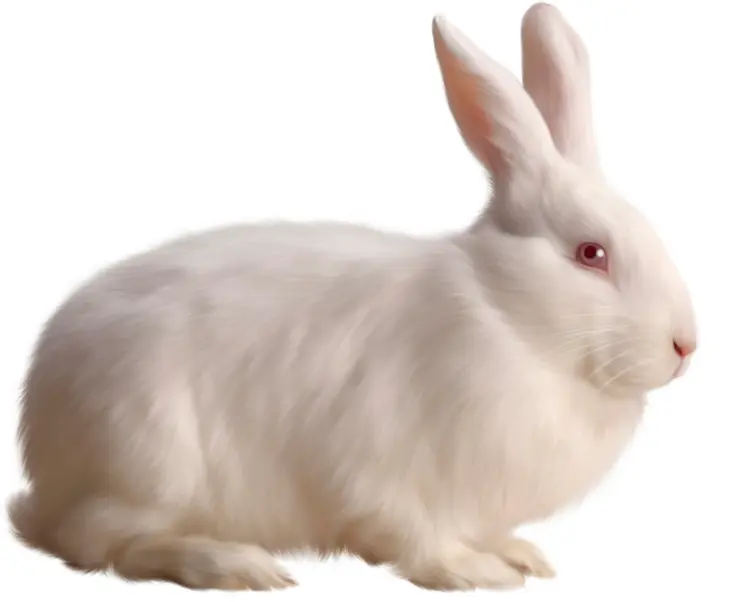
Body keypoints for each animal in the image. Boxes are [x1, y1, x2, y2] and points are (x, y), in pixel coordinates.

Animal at [8, 3, 696, 592]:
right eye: (591, 253)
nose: (685, 346)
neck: (509, 317)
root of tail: (44, 459)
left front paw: (518, 554)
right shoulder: (387, 469)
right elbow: (416, 537)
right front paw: (476, 571)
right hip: (152, 460)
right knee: (106, 543)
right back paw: (235, 564)